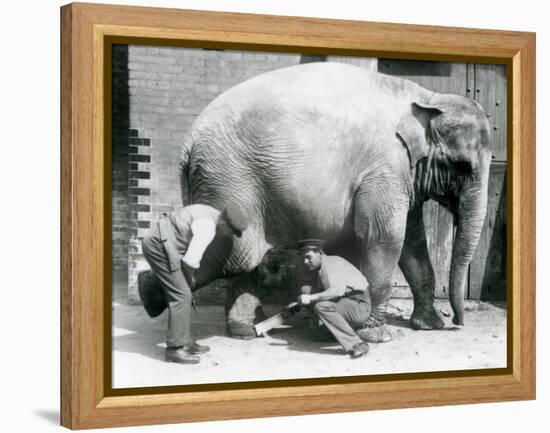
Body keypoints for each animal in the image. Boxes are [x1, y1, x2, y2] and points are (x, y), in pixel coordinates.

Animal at [179, 60, 494, 340]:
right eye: (462, 166)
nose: (456, 322)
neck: (428, 98)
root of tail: (188, 141)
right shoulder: (384, 169)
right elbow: (384, 237)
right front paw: (377, 335)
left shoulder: (403, 174)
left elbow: (412, 242)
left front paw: (429, 326)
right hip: (228, 178)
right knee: (237, 255)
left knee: (246, 258)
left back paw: (247, 329)